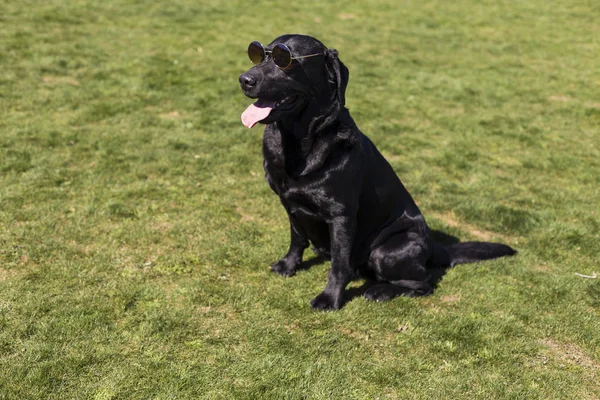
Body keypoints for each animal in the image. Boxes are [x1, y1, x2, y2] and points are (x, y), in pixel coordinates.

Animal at [239, 33, 516, 310]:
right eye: (258, 55)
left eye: (284, 60)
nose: (244, 79)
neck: (300, 142)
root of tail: (434, 247)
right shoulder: (289, 203)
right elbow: (297, 239)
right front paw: (288, 266)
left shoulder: (341, 216)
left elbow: (339, 264)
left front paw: (330, 298)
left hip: (387, 249)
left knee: (423, 284)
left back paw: (380, 291)